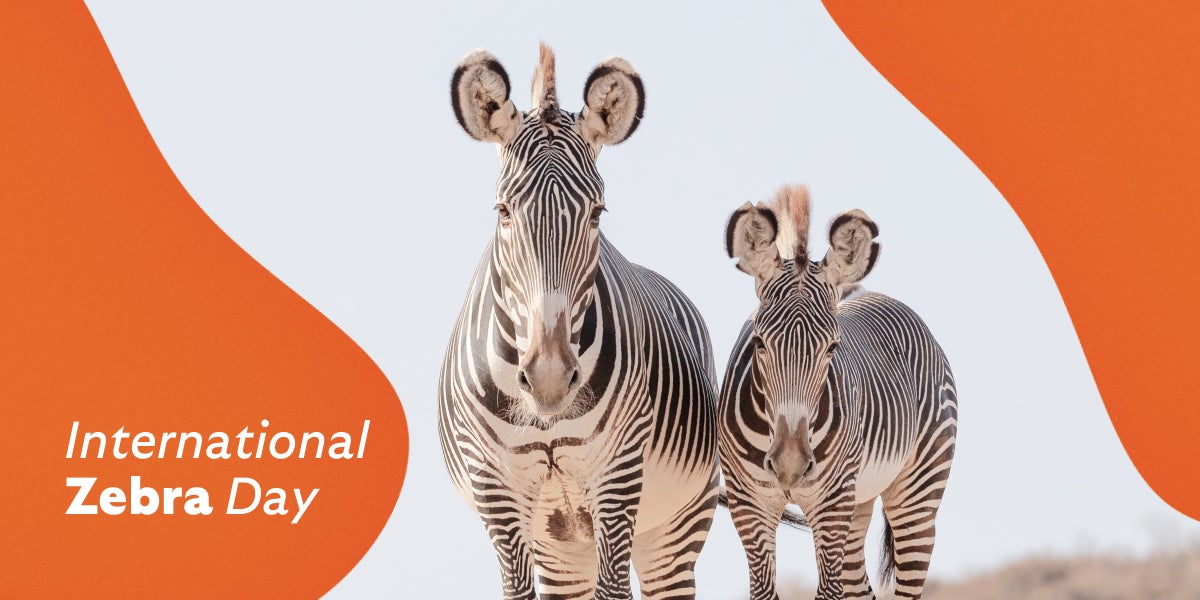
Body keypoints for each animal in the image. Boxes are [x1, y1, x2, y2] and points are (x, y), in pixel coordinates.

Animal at [438, 44, 720, 600]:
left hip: (674, 527)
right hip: (564, 546)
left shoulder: (618, 479)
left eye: (597, 213)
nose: (548, 378)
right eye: (503, 212)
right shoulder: (496, 490)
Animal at [718, 185, 958, 600]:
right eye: (759, 343)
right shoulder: (748, 504)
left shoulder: (830, 506)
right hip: (858, 501)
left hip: (917, 493)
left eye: (832, 347)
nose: (791, 466)